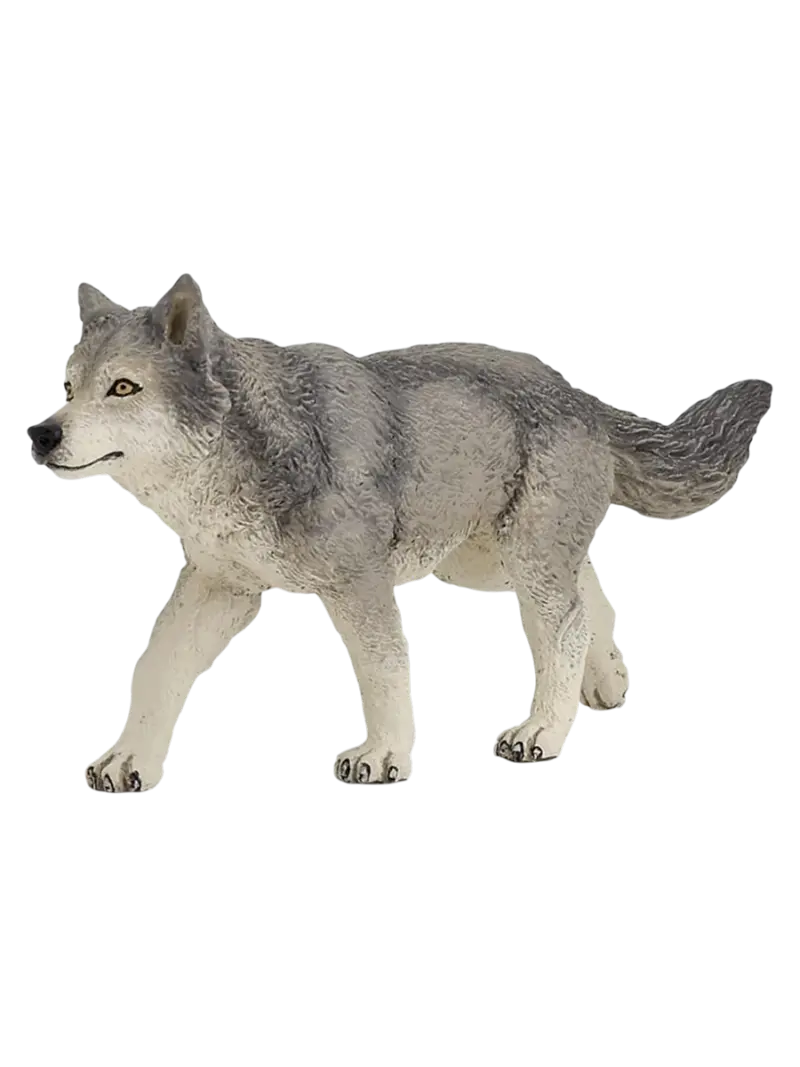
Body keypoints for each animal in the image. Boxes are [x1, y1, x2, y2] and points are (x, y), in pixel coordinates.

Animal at [29, 276, 771, 790]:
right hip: (483, 561)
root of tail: (580, 394)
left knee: (562, 626)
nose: (42, 435)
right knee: (589, 589)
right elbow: (155, 669)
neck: (254, 447)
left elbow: (385, 674)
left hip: (519, 558)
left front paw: (385, 757)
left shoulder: (360, 584)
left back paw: (544, 731)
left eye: (124, 388)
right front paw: (128, 760)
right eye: (67, 388)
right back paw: (607, 686)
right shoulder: (221, 588)